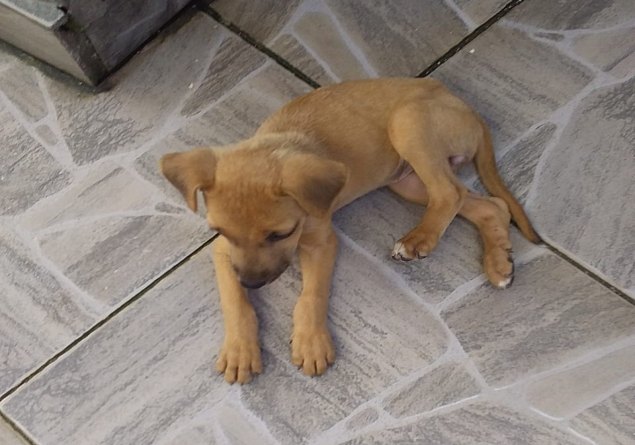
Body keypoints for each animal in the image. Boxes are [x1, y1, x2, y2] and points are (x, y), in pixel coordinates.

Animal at [161, 78, 540, 384]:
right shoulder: (222, 251)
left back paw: (417, 240)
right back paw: (499, 263)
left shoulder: (321, 242)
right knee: (489, 204)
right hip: (405, 180)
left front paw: (310, 342)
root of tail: (461, 103)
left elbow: (311, 295)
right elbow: (233, 300)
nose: (253, 283)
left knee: (451, 193)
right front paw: (240, 350)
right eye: (221, 230)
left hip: (407, 124)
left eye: (280, 234)